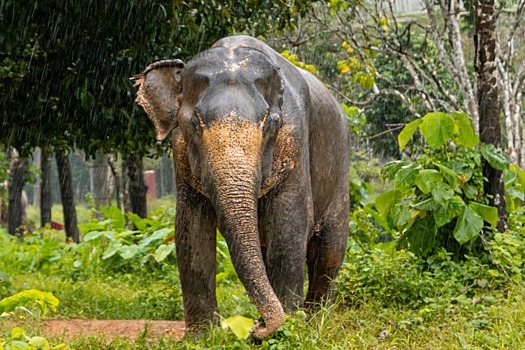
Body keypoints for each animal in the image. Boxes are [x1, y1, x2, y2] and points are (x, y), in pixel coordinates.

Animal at [133, 36, 350, 340]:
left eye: (270, 124)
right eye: (194, 123)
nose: (256, 329)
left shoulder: (295, 140)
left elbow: (290, 224)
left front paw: (288, 330)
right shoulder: (180, 153)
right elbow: (190, 228)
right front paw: (202, 338)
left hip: (341, 173)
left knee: (329, 251)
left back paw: (315, 321)